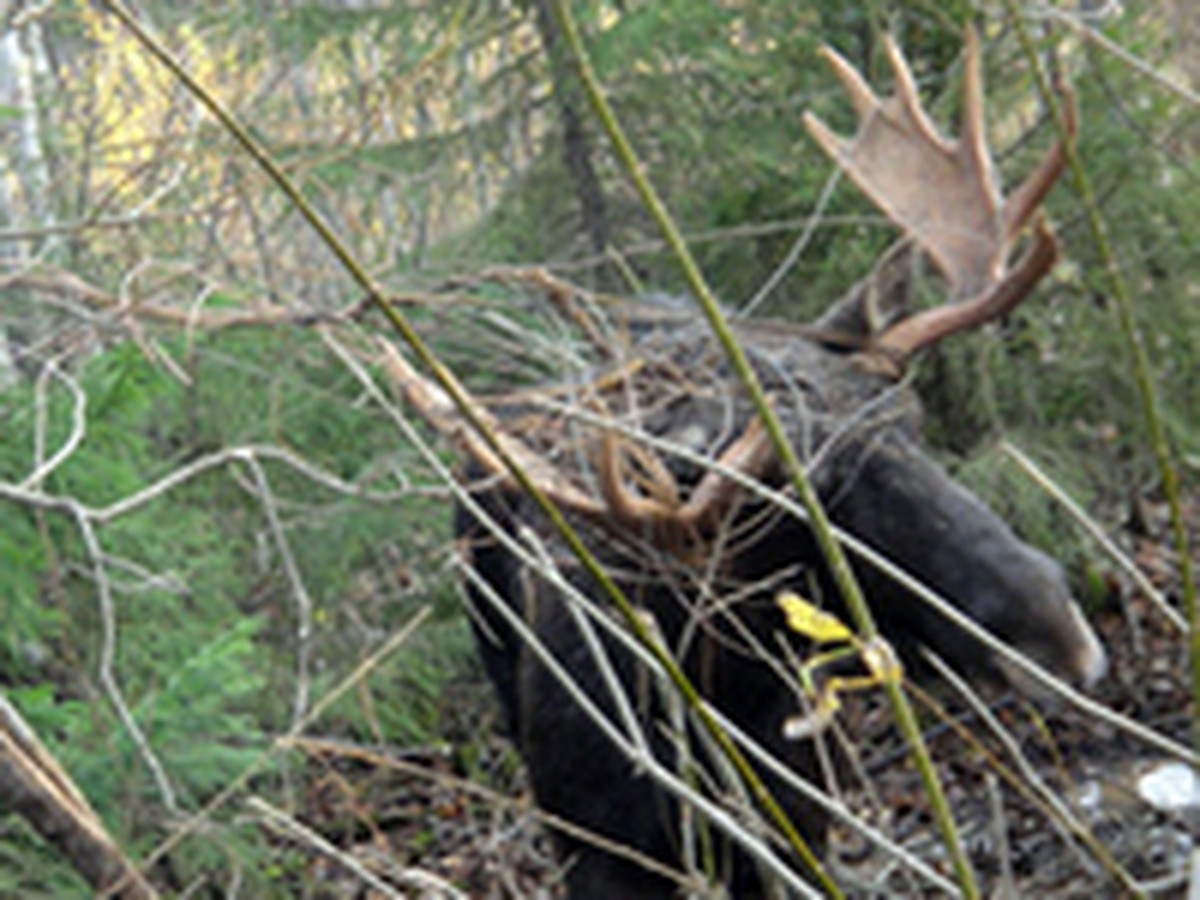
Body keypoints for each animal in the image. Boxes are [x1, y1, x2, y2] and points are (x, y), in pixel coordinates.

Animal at [444, 30, 1104, 900]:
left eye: (912, 422)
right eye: (791, 499)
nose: (1063, 635)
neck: (711, 688)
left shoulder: (796, 823)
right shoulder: (598, 850)